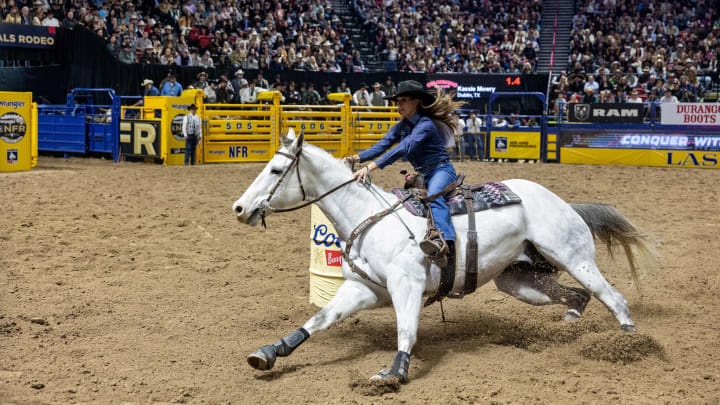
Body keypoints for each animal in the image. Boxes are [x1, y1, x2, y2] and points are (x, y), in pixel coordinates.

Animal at [233, 132, 656, 382]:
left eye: (275, 169)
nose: (239, 208)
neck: (370, 218)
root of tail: (565, 203)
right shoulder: (363, 290)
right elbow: (317, 320)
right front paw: (268, 353)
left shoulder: (406, 287)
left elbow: (407, 330)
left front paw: (393, 374)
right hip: (520, 280)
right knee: (577, 296)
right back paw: (567, 327)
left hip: (575, 258)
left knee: (613, 297)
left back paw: (629, 345)